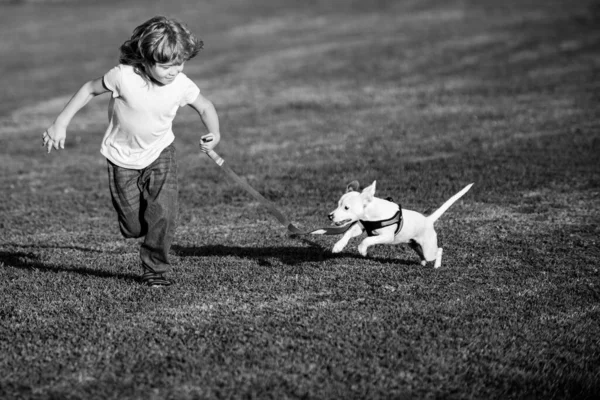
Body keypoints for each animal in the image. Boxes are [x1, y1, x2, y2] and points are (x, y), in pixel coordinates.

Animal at [318, 180, 474, 268]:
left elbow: (367, 239)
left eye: (346, 208)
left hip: (429, 248)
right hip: (414, 244)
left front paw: (362, 250)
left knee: (439, 250)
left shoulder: (387, 236)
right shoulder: (359, 226)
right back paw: (423, 262)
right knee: (422, 253)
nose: (330, 216)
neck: (372, 213)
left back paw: (436, 266)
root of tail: (428, 220)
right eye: (338, 204)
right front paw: (338, 246)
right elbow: (347, 233)